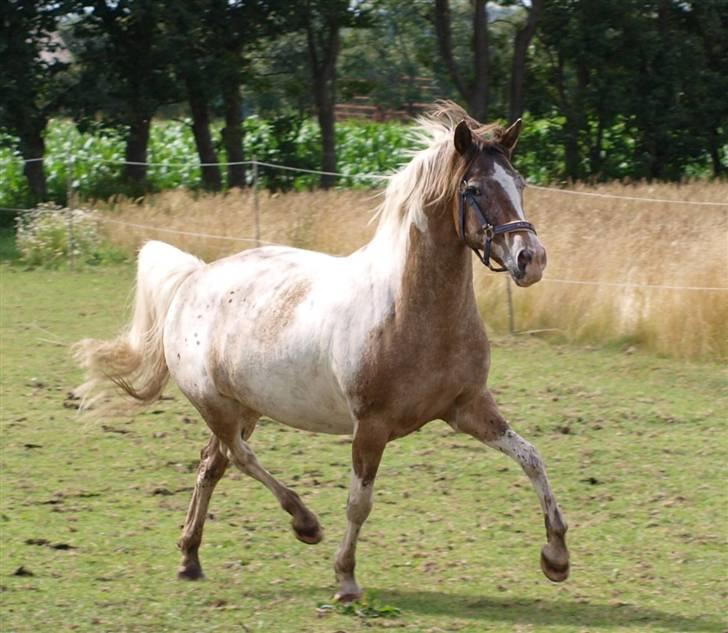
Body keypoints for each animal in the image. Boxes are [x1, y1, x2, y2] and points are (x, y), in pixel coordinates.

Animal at [77, 105, 572, 604]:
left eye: (520, 183)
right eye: (473, 189)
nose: (532, 259)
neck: (410, 310)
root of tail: (193, 278)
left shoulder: (468, 408)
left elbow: (533, 458)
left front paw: (556, 557)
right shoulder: (371, 426)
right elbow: (359, 503)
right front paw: (346, 579)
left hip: (245, 407)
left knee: (211, 464)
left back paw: (190, 558)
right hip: (215, 405)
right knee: (239, 456)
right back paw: (304, 522)